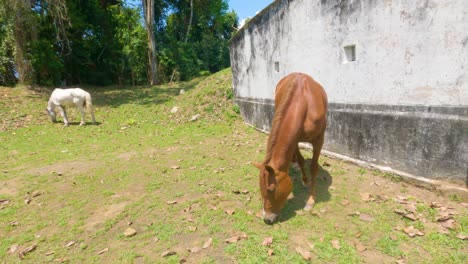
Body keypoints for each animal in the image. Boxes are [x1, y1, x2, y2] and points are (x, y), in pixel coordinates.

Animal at [254, 72, 328, 225]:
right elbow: (300, 160)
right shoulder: (294, 139)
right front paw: (304, 179)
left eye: (271, 189)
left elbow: (313, 167)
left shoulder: (319, 140)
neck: (304, 104)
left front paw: (311, 200)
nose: (267, 219)